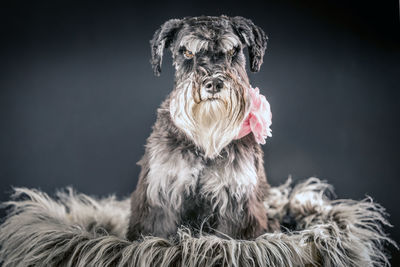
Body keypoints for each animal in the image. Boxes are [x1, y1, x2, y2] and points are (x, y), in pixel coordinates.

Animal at [127, 14, 276, 242]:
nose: (213, 83)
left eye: (232, 52)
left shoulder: (237, 202)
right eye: (188, 52)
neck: (204, 142)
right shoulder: (161, 193)